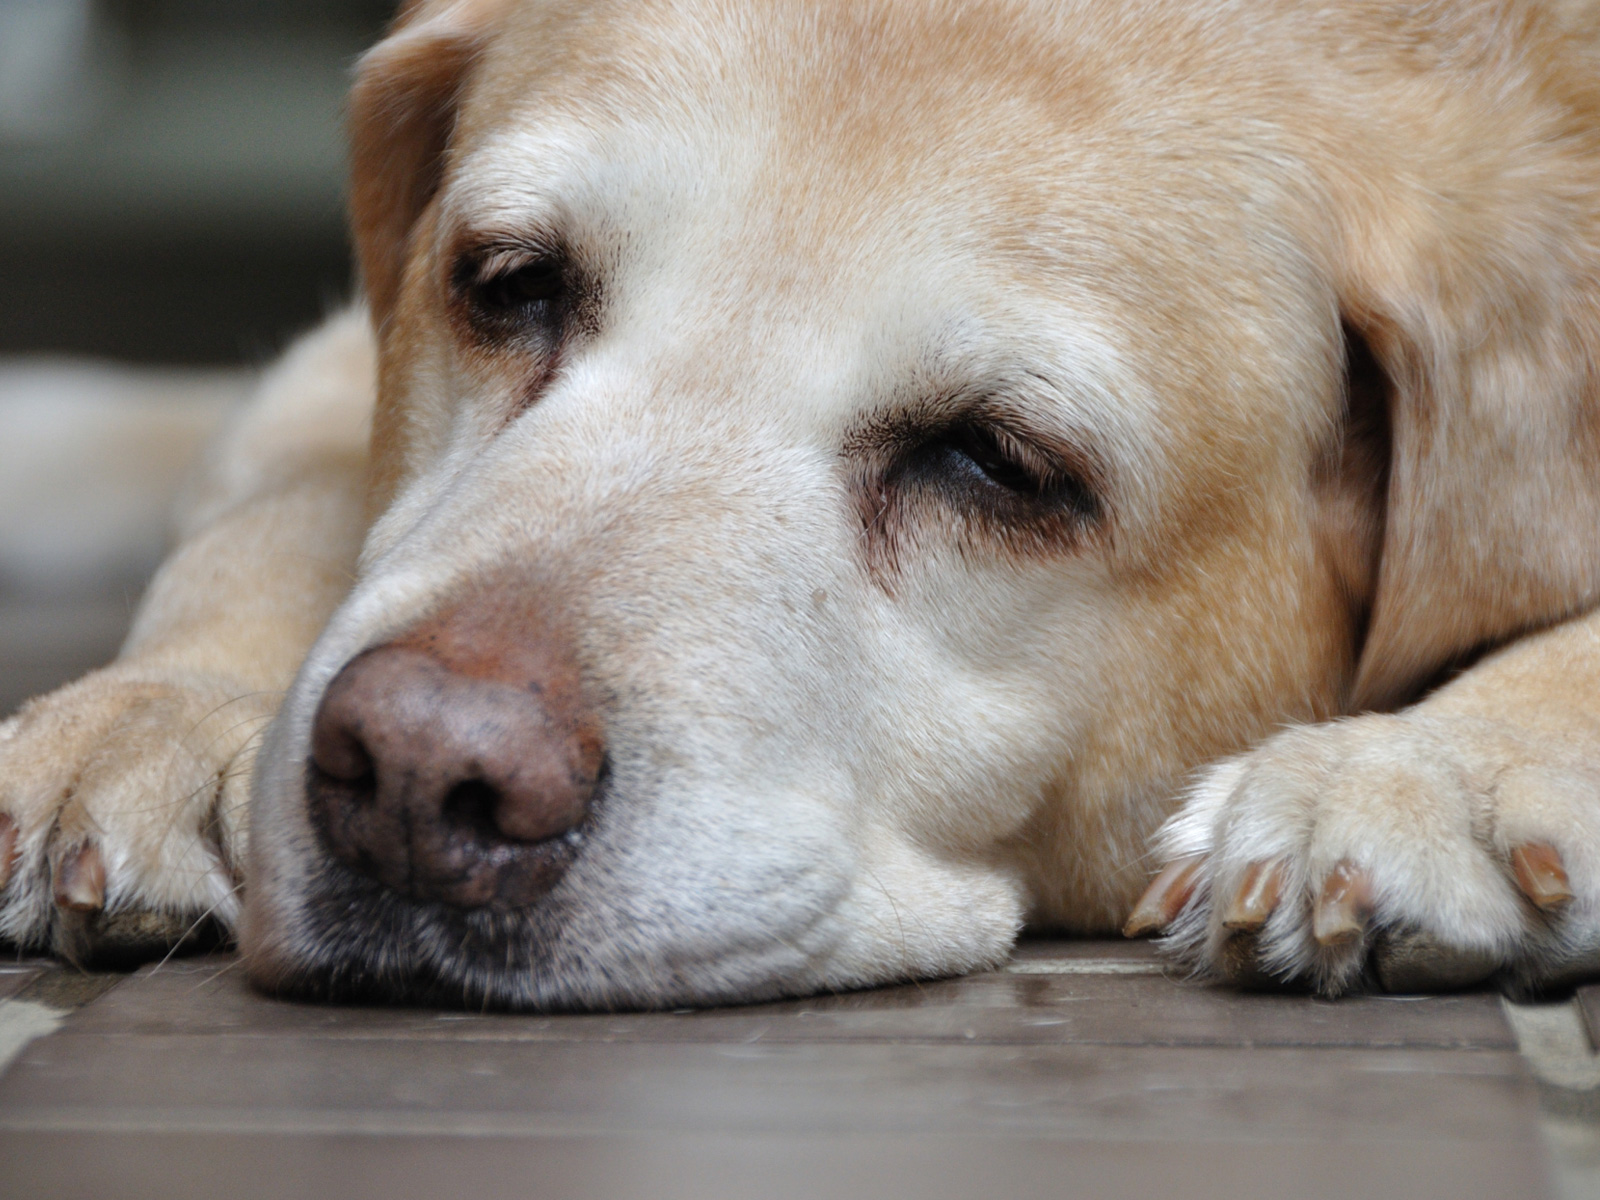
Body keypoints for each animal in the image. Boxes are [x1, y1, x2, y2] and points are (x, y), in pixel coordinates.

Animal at [3, 0, 1600, 1017]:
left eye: (996, 462)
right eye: (511, 283)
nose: (418, 774)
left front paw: (1435, 767)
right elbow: (287, 492)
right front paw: (159, 709)